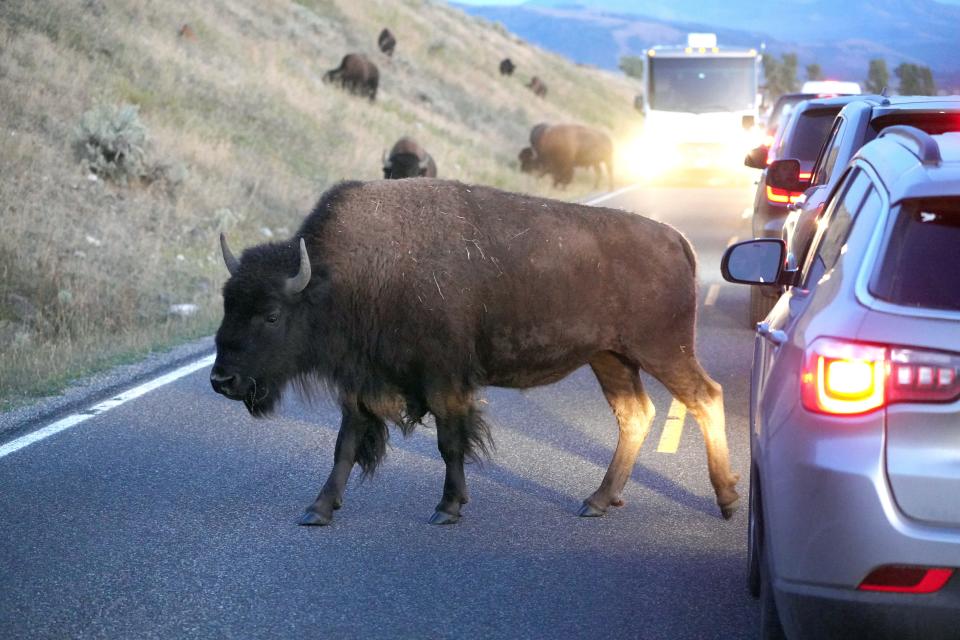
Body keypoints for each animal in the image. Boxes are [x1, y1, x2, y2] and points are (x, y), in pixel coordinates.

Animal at [214, 179, 740, 524]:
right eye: (226, 303)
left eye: (271, 315)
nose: (222, 380)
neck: (339, 278)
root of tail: (676, 239)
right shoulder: (362, 383)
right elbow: (345, 445)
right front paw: (318, 509)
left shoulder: (444, 380)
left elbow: (450, 443)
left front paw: (447, 508)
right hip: (611, 358)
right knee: (636, 414)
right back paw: (597, 501)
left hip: (663, 350)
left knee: (704, 396)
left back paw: (728, 500)